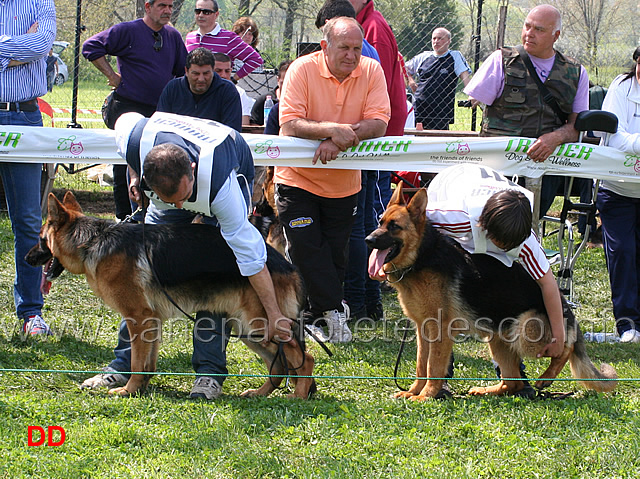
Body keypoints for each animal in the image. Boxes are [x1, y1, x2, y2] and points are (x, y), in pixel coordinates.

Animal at [25, 193, 316, 400]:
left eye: (40, 239)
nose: (27, 259)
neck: (92, 241)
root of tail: (286, 264)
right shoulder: (151, 321)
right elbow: (148, 362)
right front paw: (140, 388)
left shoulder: (138, 318)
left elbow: (137, 361)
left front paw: (128, 391)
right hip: (247, 330)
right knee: (278, 367)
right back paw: (260, 393)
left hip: (260, 324)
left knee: (305, 359)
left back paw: (298, 396)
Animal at [364, 185, 616, 402]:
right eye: (380, 222)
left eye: (394, 226)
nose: (368, 240)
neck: (422, 255)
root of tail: (568, 311)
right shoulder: (422, 330)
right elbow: (420, 365)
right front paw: (414, 391)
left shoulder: (439, 331)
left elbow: (433, 366)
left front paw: (425, 395)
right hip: (497, 338)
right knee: (513, 382)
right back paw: (489, 390)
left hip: (524, 331)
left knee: (565, 349)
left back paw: (546, 377)